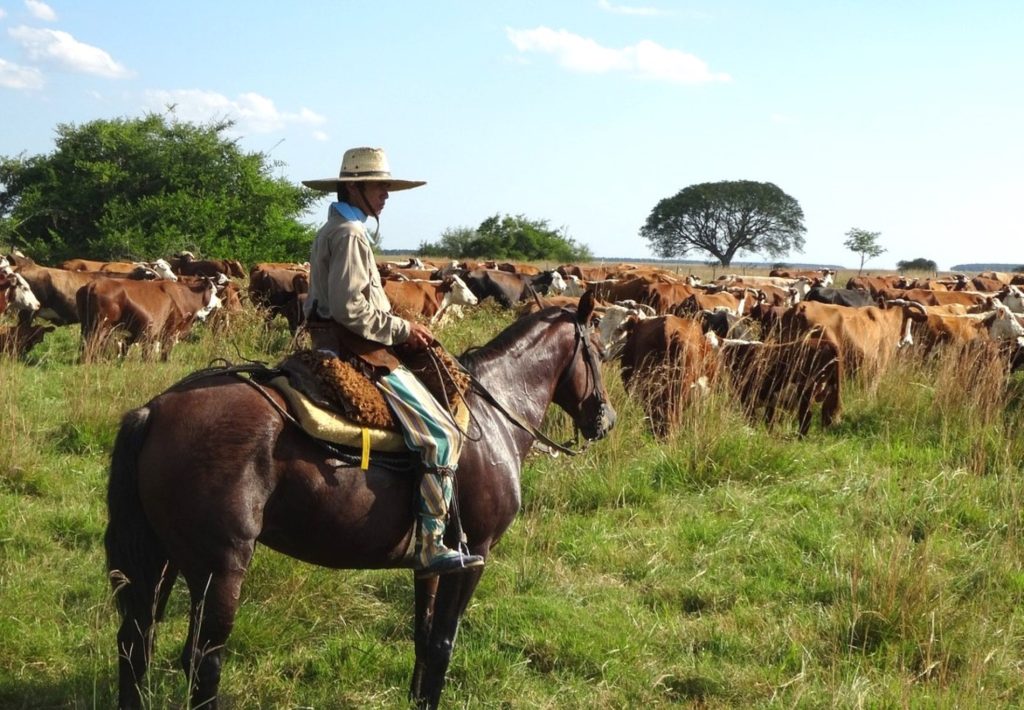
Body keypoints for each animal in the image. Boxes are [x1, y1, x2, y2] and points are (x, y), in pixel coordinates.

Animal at [104, 290, 614, 704]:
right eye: (600, 352)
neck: (493, 419)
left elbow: (423, 635)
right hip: (220, 568)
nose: (604, 421)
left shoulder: (432, 561)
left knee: (138, 643)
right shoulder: (476, 556)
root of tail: (155, 410)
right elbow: (443, 643)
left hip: (166, 559)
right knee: (202, 661)